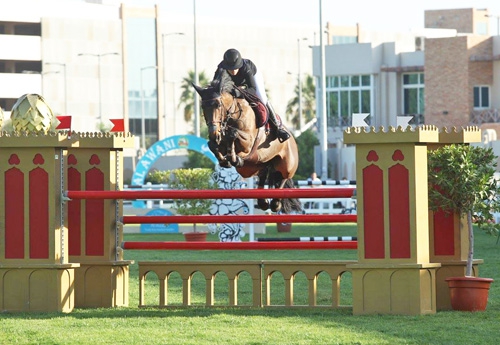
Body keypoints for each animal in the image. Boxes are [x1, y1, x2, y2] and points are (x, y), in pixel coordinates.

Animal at [191, 74, 300, 212]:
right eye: (203, 107)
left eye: (218, 104)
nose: (214, 133)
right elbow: (213, 145)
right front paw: (225, 160)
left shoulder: (248, 143)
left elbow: (234, 135)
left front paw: (233, 158)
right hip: (254, 166)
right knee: (263, 175)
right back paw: (263, 201)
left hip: (287, 164)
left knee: (283, 177)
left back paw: (275, 204)